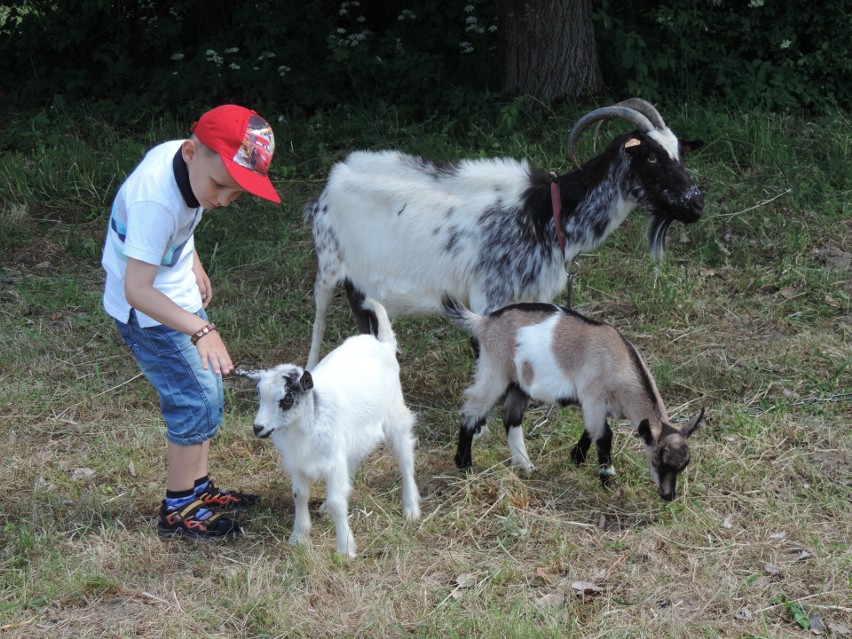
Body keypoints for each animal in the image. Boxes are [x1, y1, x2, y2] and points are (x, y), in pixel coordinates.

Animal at [235, 298, 422, 556]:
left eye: (286, 400)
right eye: (259, 395)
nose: (258, 428)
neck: (309, 420)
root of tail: (382, 344)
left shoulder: (332, 460)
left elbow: (337, 502)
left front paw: (345, 548)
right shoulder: (299, 461)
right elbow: (299, 494)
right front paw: (298, 537)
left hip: (395, 414)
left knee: (405, 456)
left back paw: (411, 508)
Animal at [306, 97, 704, 368]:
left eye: (679, 154)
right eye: (651, 156)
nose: (697, 204)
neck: (547, 212)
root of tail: (333, 179)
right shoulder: (489, 297)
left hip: (359, 280)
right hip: (327, 265)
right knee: (319, 321)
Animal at [442, 298, 704, 502]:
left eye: (684, 465)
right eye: (657, 462)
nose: (668, 496)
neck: (617, 363)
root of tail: (483, 322)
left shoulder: (598, 407)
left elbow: (591, 431)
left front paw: (576, 458)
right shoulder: (593, 397)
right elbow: (605, 436)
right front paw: (606, 478)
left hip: (519, 386)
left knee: (511, 419)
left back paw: (526, 466)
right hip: (495, 371)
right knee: (472, 411)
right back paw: (464, 465)